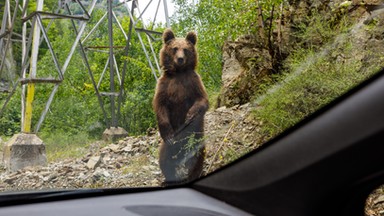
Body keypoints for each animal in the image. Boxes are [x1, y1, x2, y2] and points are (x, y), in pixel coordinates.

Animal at [152, 27, 208, 185]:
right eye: (175, 48)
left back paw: (193, 174)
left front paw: (190, 115)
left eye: (186, 49)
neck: (178, 73)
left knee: (197, 156)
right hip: (167, 147)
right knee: (165, 159)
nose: (180, 59)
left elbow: (202, 100)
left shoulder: (193, 82)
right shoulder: (164, 86)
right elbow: (160, 106)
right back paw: (169, 179)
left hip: (196, 138)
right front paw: (168, 132)